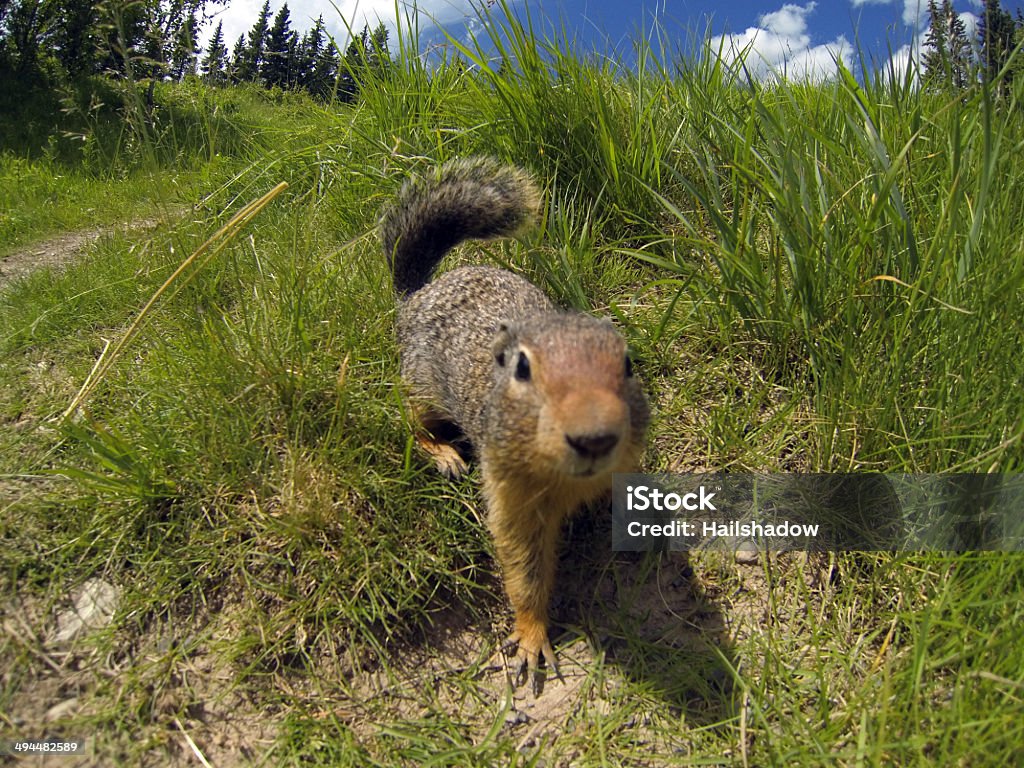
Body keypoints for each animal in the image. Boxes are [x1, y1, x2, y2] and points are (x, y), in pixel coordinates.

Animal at [376, 156, 647, 692]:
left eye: (627, 363)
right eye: (522, 369)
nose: (594, 437)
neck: (569, 482)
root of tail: (418, 293)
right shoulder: (513, 499)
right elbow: (525, 569)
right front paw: (532, 636)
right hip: (420, 387)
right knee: (413, 422)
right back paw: (443, 454)